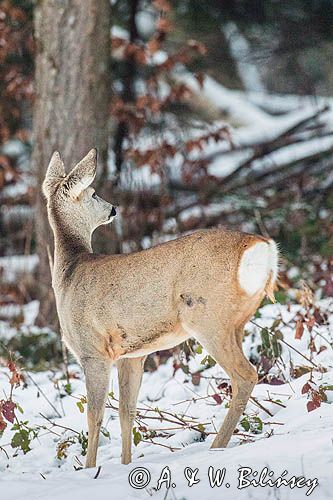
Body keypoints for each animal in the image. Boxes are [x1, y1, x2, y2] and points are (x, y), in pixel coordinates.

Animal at [42, 148, 278, 468]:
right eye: (94, 194)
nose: (113, 209)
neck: (69, 273)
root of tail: (262, 247)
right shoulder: (131, 354)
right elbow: (126, 413)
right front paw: (126, 464)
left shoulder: (93, 350)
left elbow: (95, 416)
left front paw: (89, 469)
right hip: (237, 320)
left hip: (207, 317)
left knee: (245, 374)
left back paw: (216, 447)